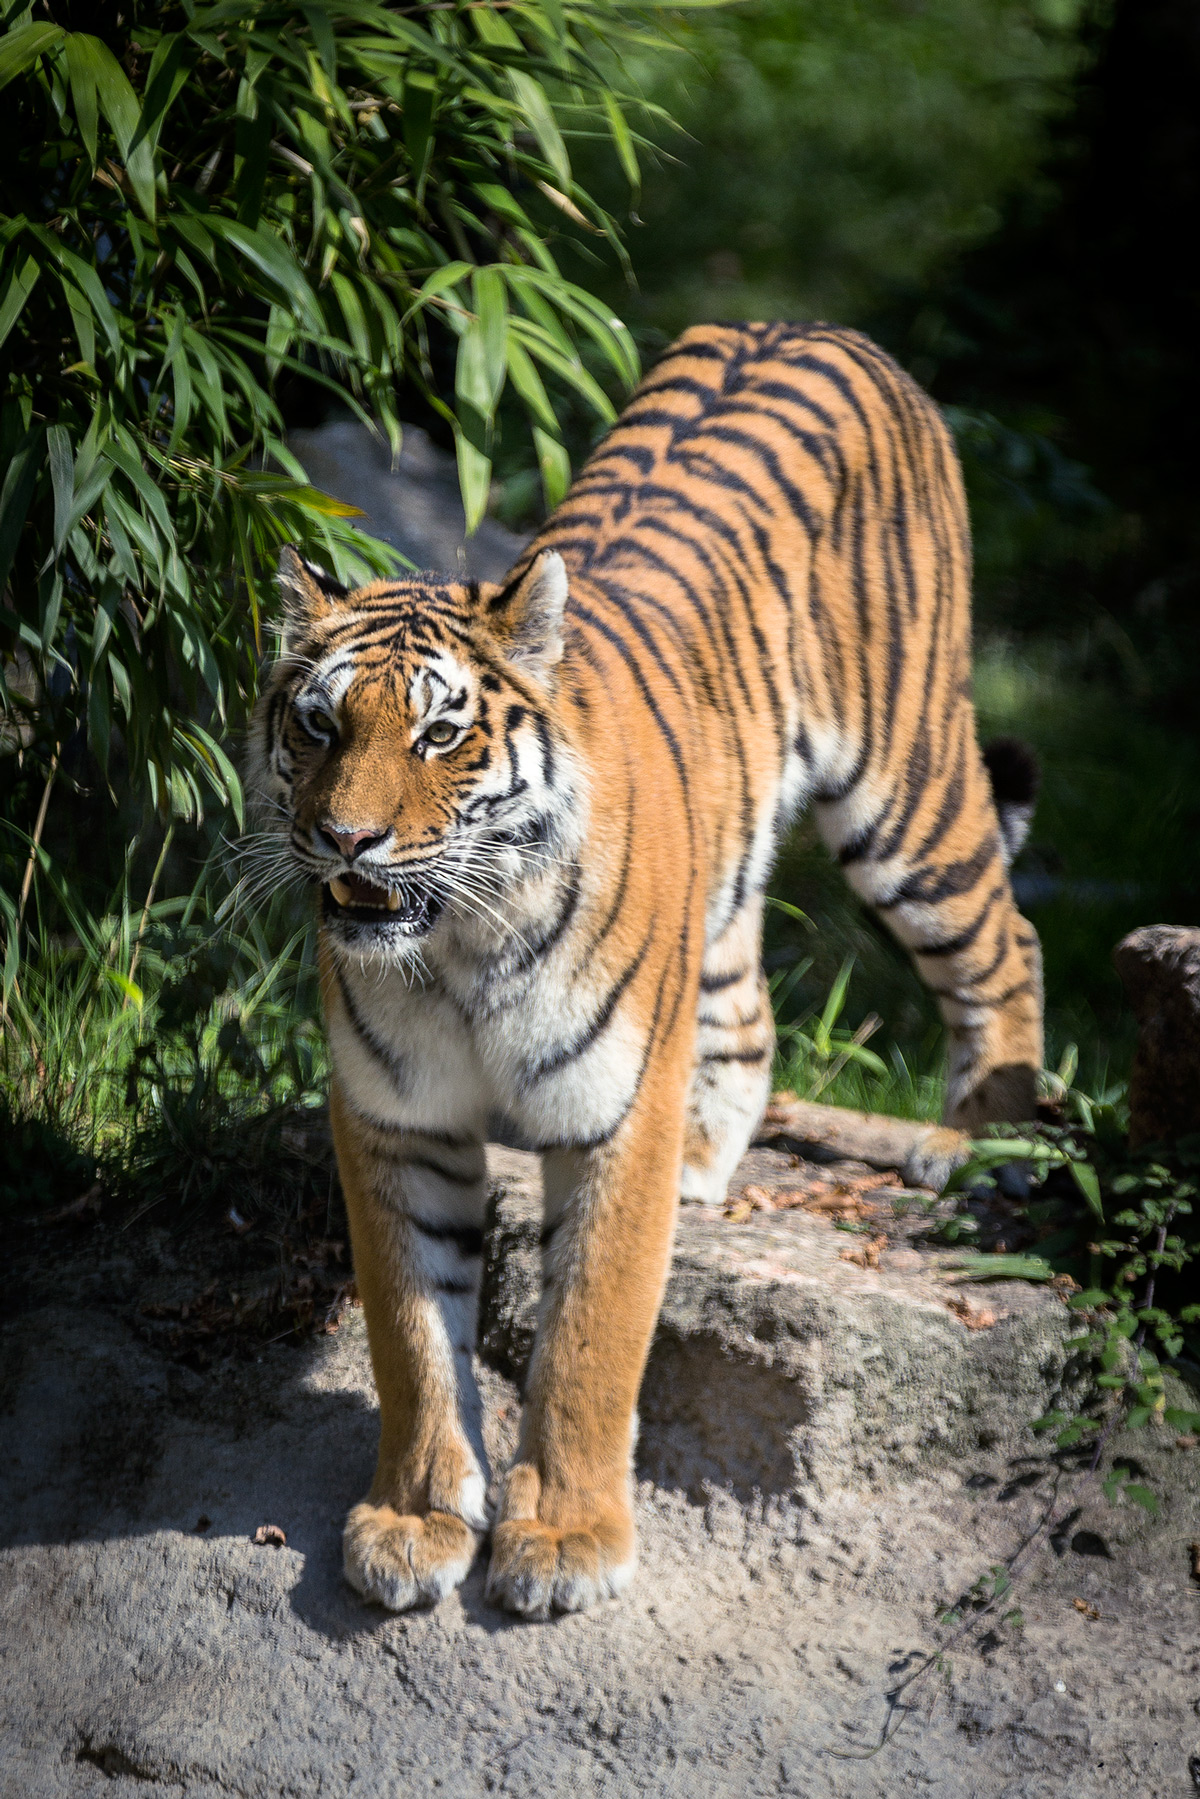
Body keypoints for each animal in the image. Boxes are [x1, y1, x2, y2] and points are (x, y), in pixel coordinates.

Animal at [248, 321, 1043, 1619]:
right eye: (318, 724)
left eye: (438, 733)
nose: (346, 838)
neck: (458, 947)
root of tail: (819, 326)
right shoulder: (395, 1121)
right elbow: (412, 1339)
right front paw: (413, 1521)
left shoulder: (615, 1114)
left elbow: (591, 1336)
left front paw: (566, 1538)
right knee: (749, 1008)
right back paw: (714, 1154)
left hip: (907, 786)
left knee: (1005, 939)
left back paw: (983, 1139)